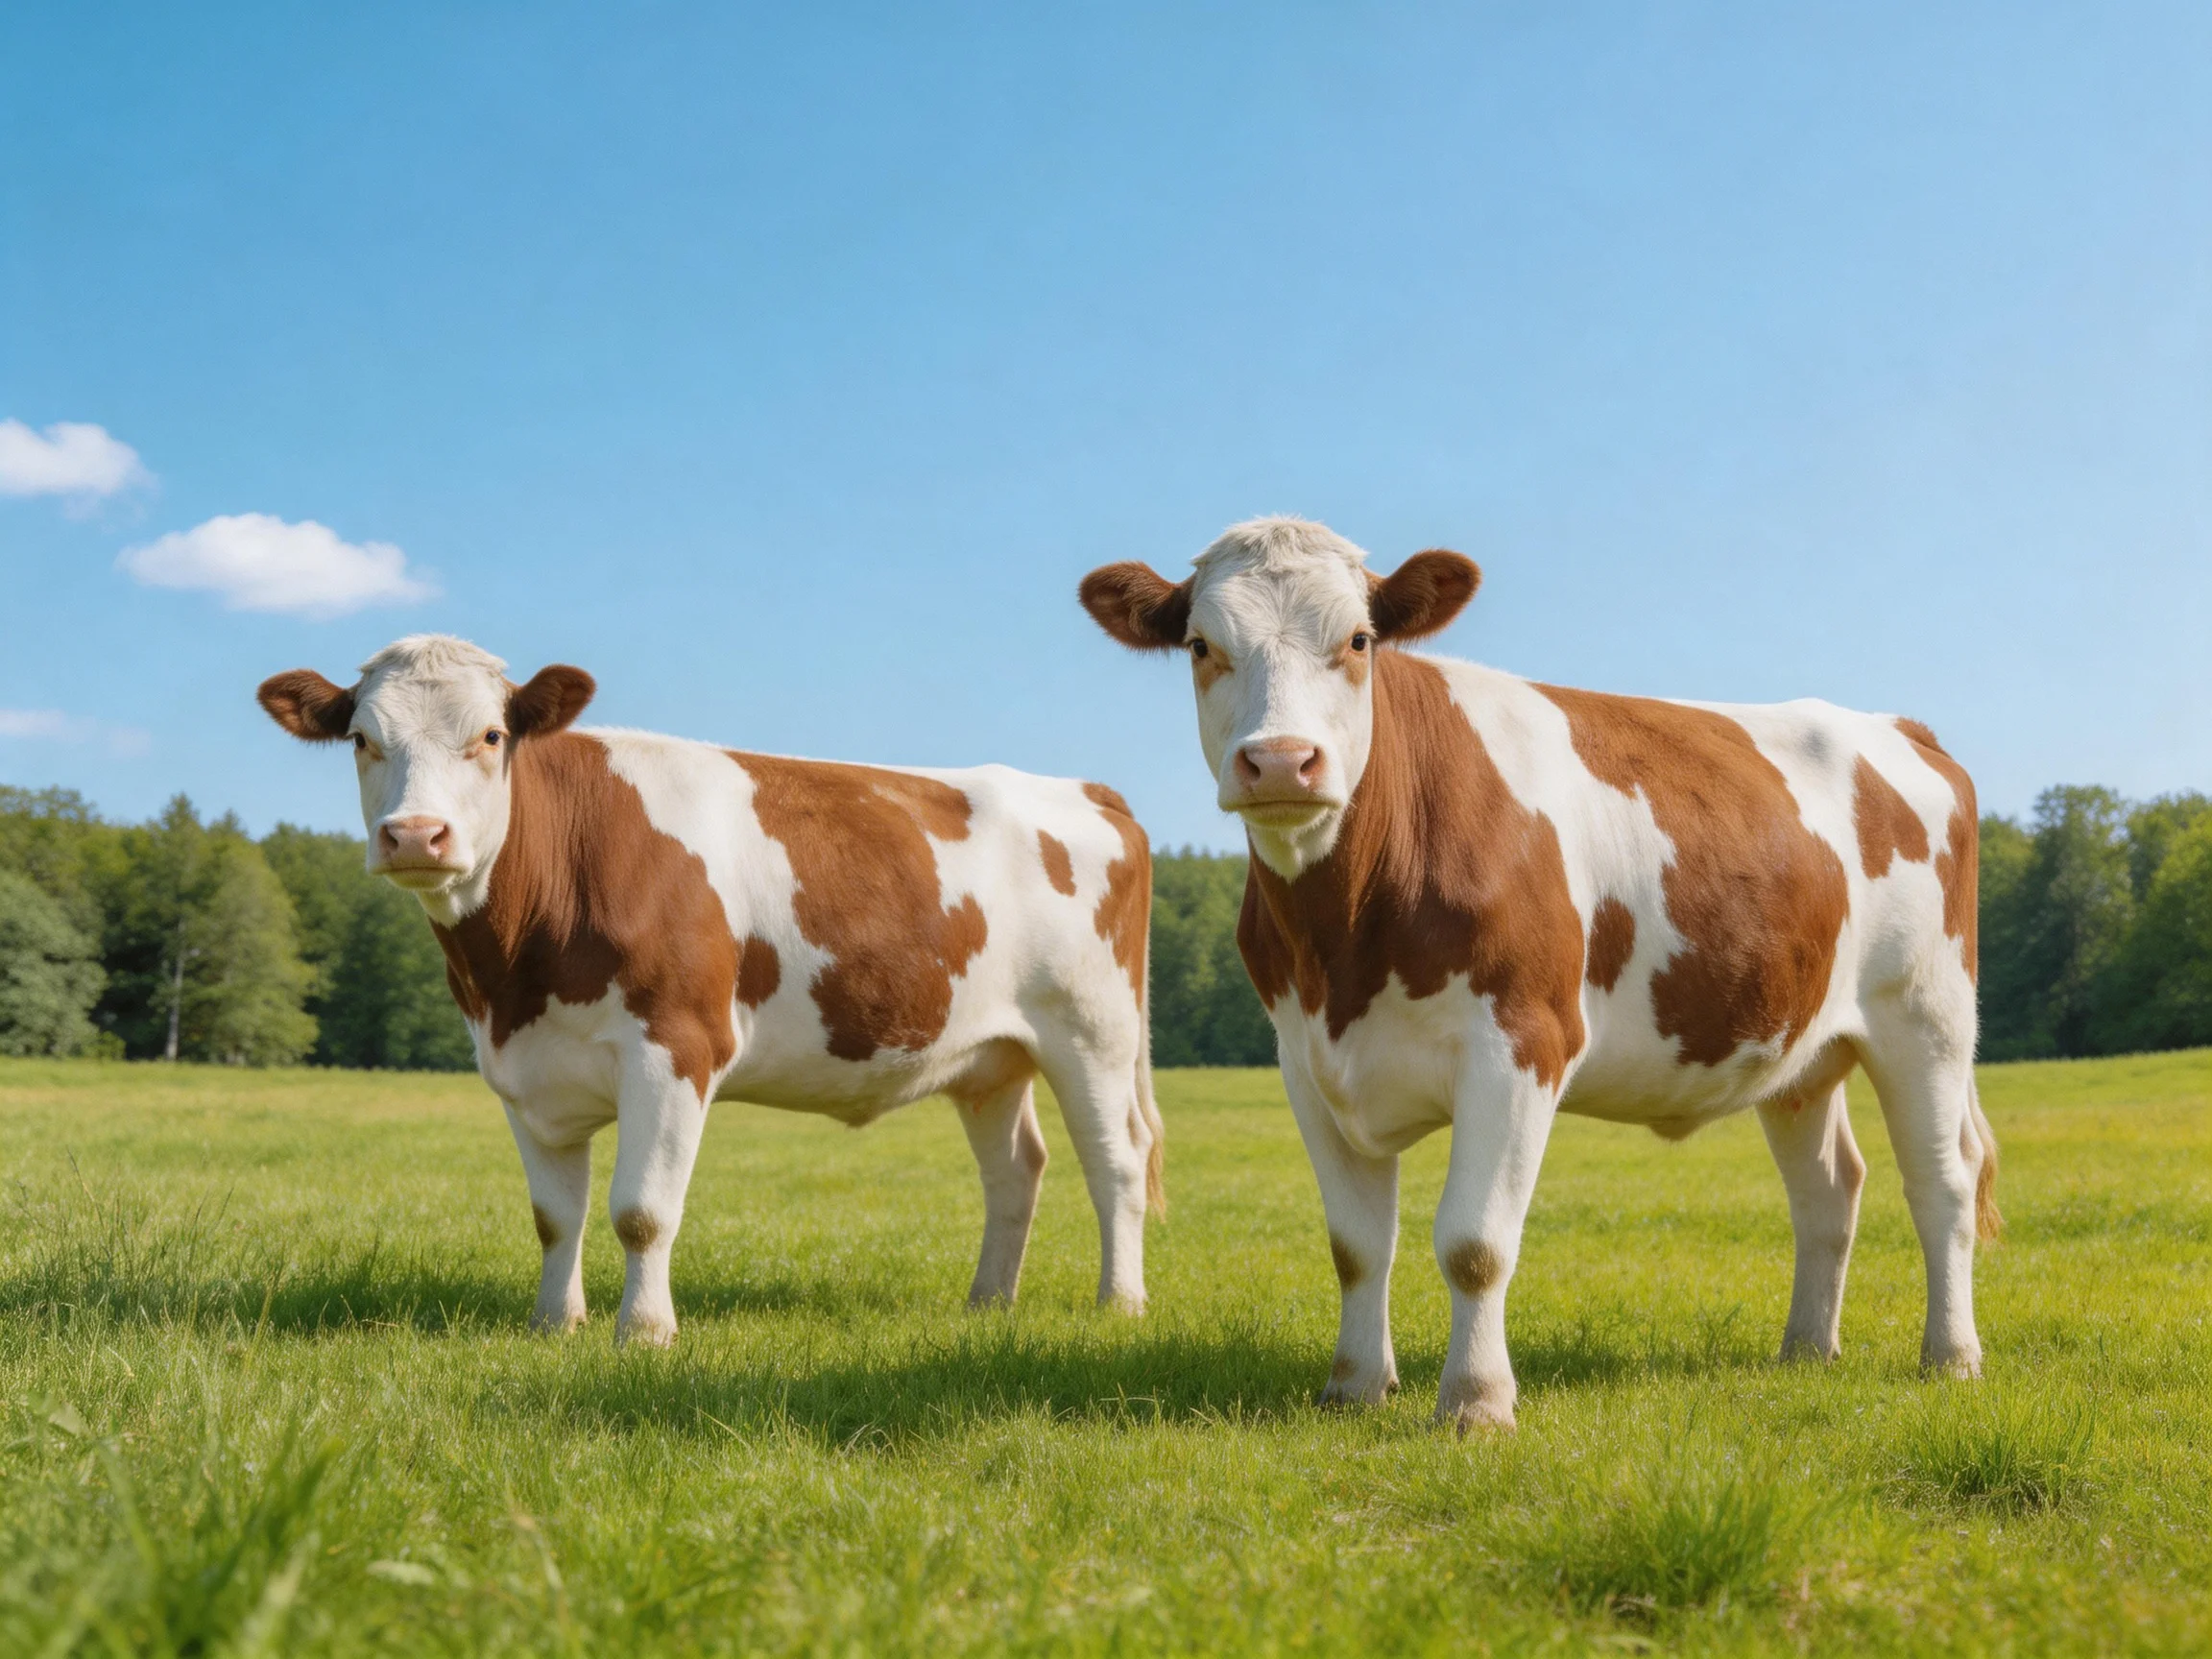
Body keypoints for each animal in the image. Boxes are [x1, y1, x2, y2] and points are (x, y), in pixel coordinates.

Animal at [258, 635, 1161, 1345]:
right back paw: (987, 1304)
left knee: (1115, 1159)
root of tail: (1084, 788)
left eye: (490, 734)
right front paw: (554, 1323)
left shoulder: (676, 1045)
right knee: (1016, 1168)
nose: (415, 835)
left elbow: (641, 1210)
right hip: (991, 1057)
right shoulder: (522, 1070)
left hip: (1093, 1031)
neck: (516, 974)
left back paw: (1119, 1302)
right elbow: (555, 1217)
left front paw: (644, 1331)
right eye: (362, 739)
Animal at [1080, 516, 1994, 1431]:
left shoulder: (1520, 1042)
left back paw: (1951, 1357)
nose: (1278, 761)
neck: (1341, 947)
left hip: (1927, 1015)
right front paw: (1354, 1387)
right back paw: (1805, 1348)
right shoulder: (1306, 1063)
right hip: (1799, 1046)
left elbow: (1475, 1245)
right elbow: (1356, 1246)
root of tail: (1898, 727)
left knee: (1941, 1183)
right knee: (1828, 1191)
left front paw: (1476, 1403)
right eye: (1201, 645)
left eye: (1359, 640)